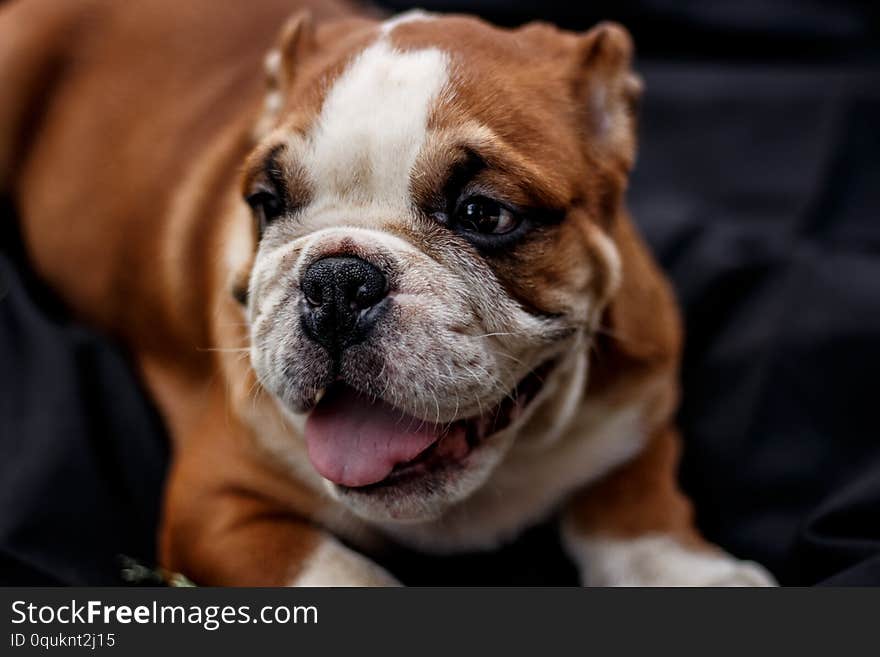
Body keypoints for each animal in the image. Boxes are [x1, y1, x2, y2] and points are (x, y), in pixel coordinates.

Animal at [0, 0, 772, 584]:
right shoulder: (217, 502)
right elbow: (340, 573)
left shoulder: (642, 406)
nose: (338, 279)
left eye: (484, 214)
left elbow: (638, 502)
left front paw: (695, 574)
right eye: (266, 202)